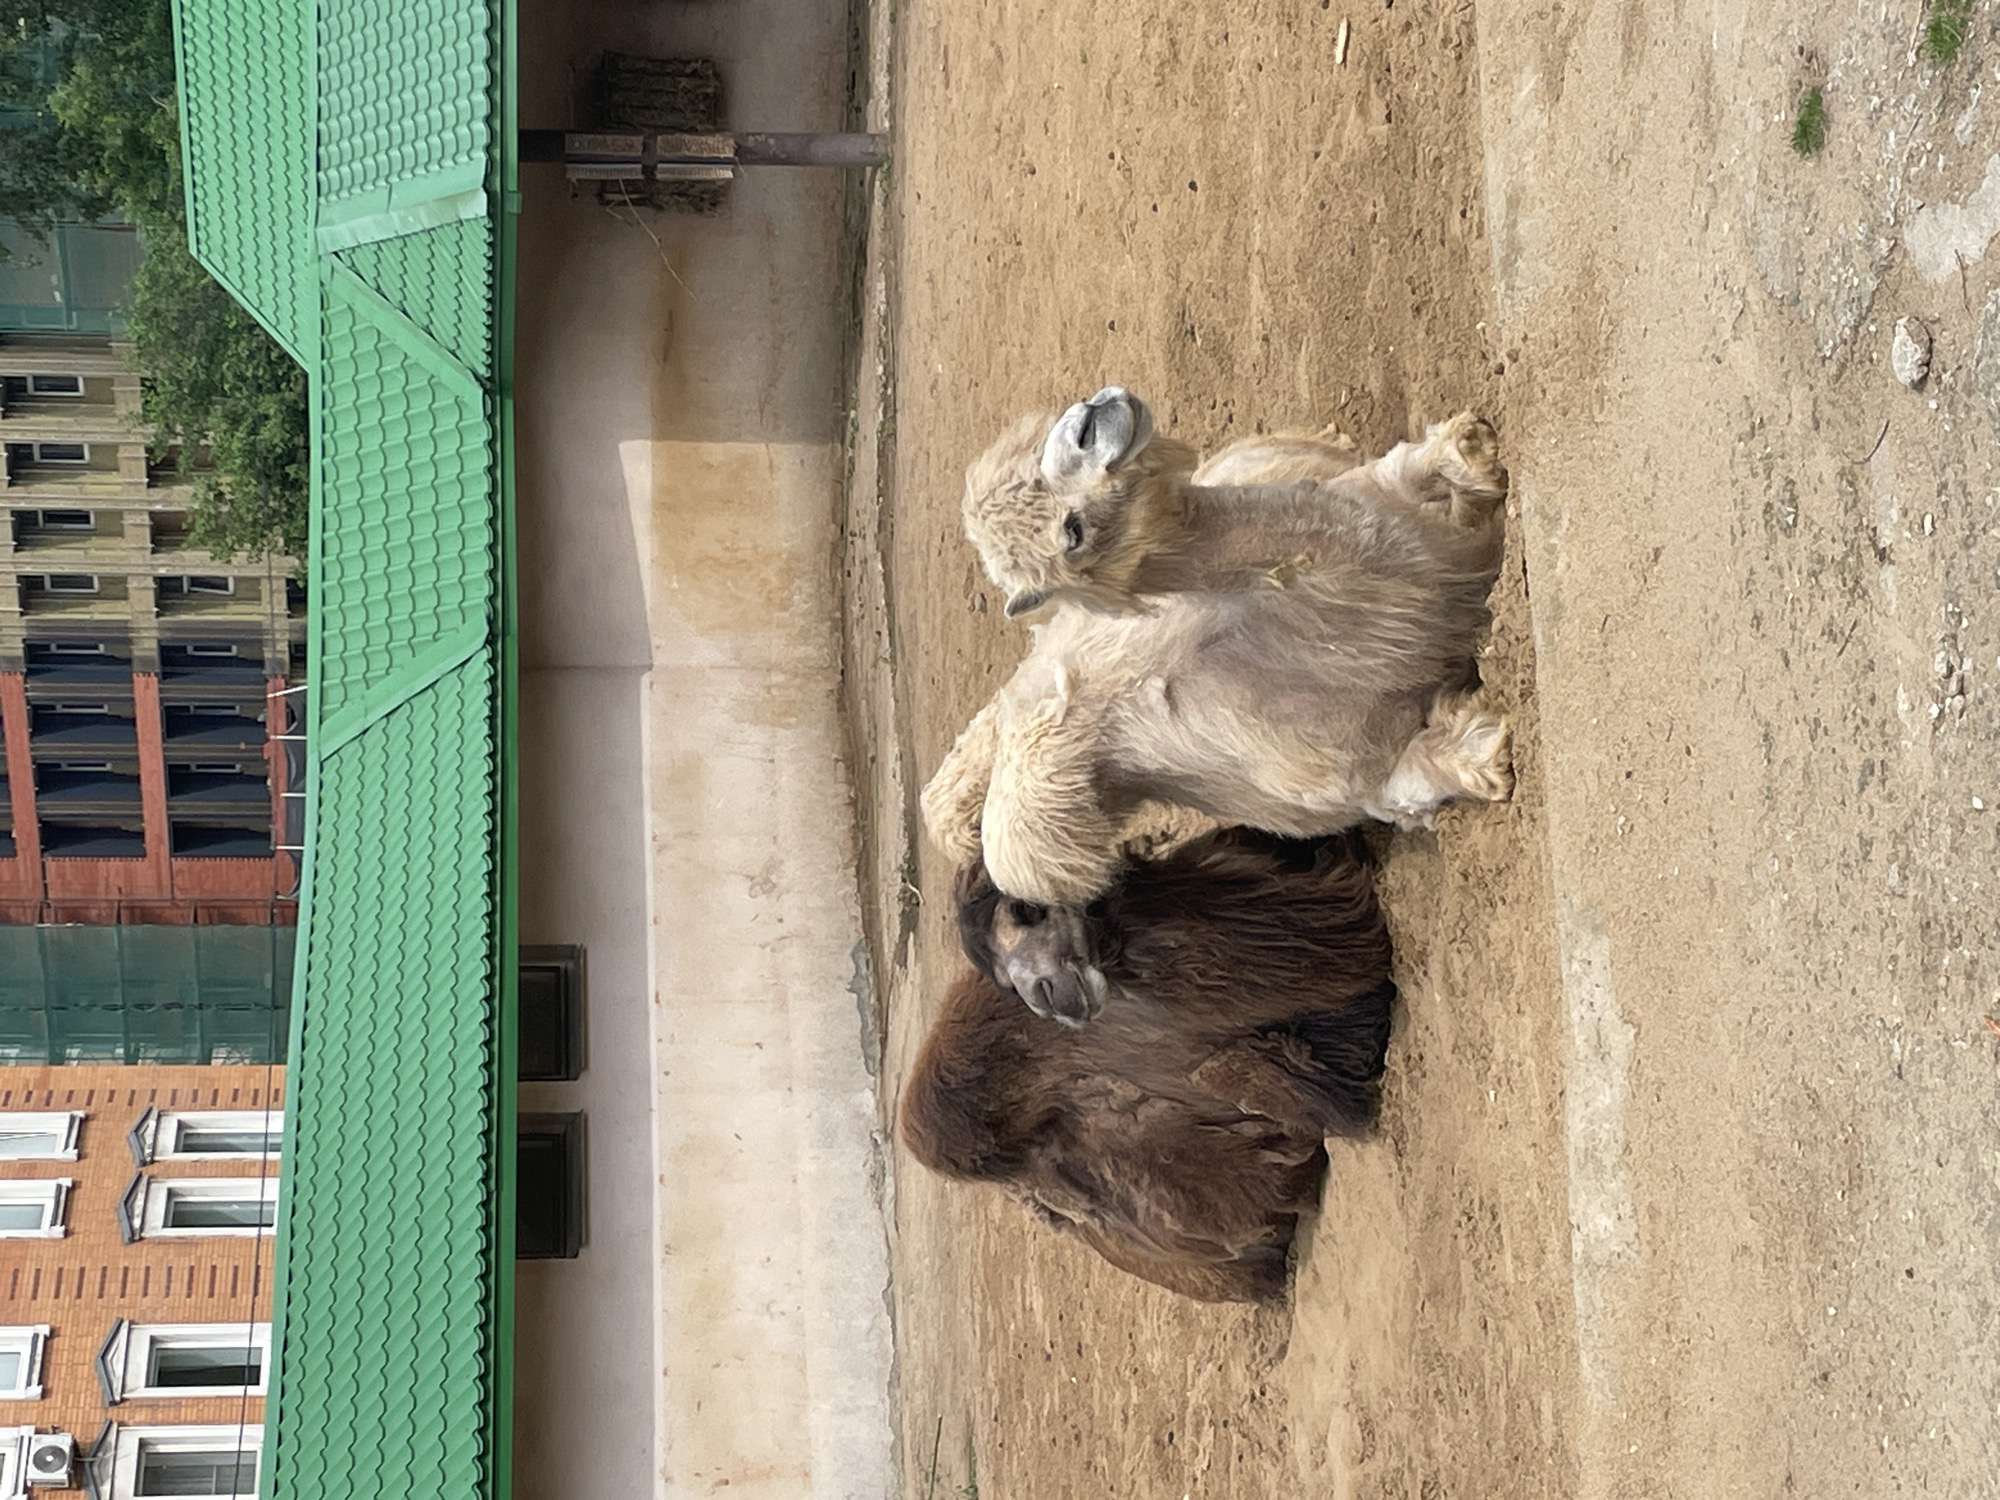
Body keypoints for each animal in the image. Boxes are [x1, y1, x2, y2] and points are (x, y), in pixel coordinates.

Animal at [922, 387, 1513, 909]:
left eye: (1046, 448)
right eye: (1073, 533)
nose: (1092, 420)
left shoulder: (1393, 501)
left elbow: (1434, 465)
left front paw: (1477, 451)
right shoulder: (1361, 777)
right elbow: (1423, 779)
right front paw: (1487, 751)